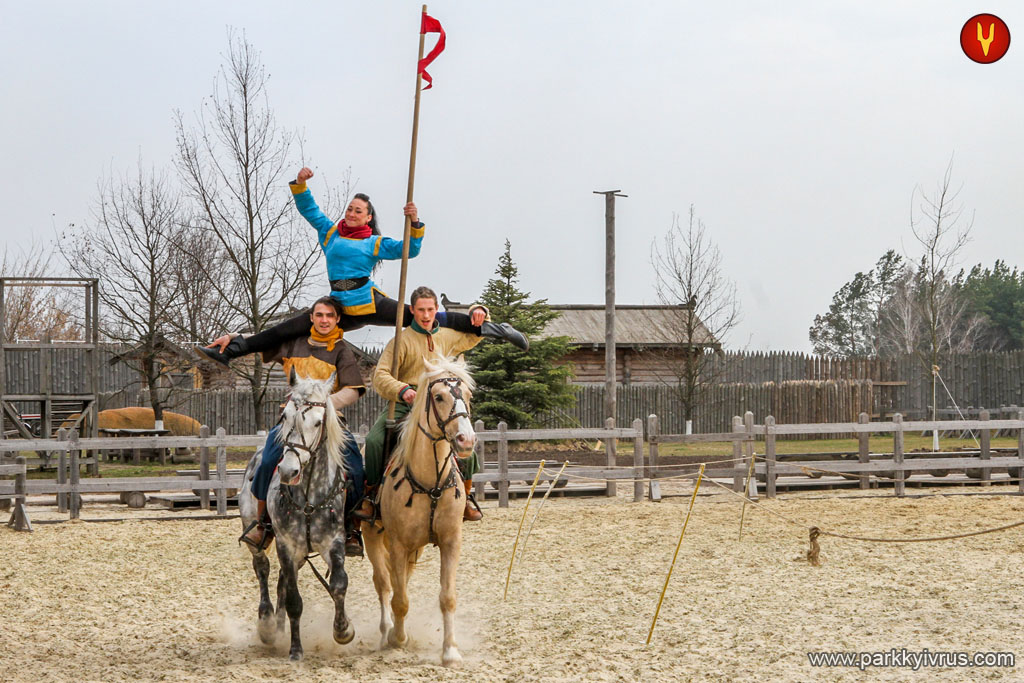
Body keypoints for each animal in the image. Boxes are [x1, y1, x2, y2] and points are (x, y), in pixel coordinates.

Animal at [239, 374, 356, 663]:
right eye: (285, 417)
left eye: (317, 421)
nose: (288, 471)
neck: (309, 500)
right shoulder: (286, 544)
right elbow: (294, 600)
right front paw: (295, 650)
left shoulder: (333, 542)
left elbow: (339, 584)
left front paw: (343, 629)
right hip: (259, 535)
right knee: (263, 569)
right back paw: (268, 624)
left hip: (303, 554)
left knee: (281, 579)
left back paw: (279, 626)